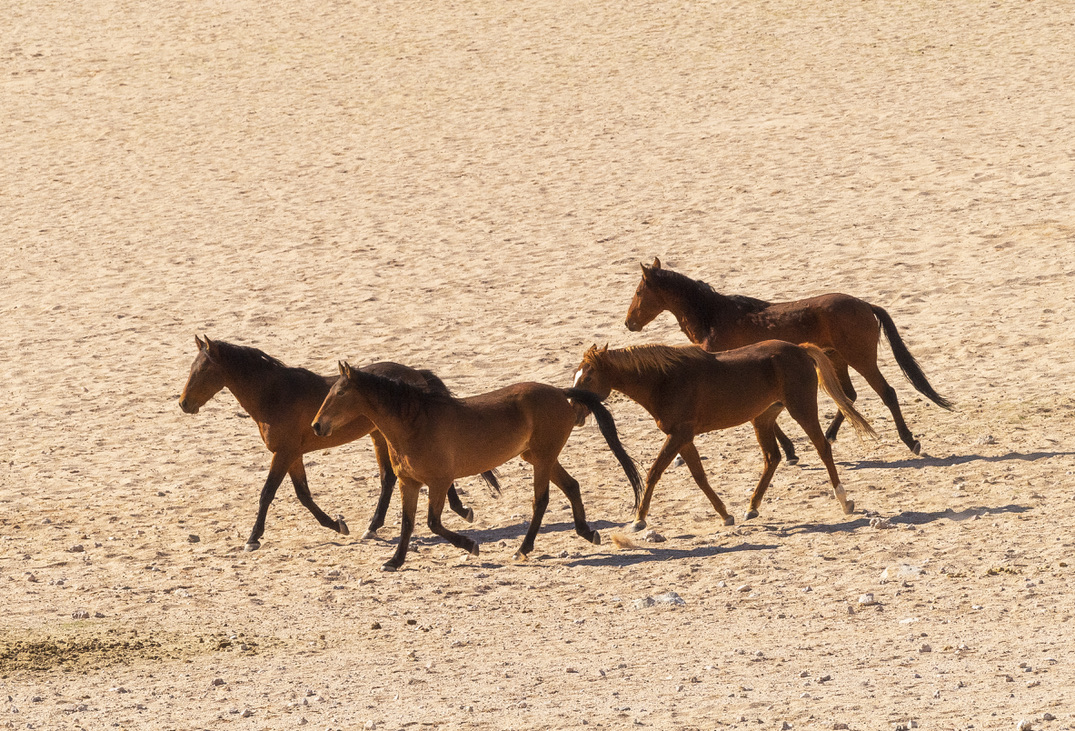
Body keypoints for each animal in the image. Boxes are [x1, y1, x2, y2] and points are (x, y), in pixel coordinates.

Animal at [178, 336, 497, 551]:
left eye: (203, 370)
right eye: (191, 367)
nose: (183, 404)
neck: (275, 394)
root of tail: (416, 373)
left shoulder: (284, 452)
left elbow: (268, 493)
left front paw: (253, 538)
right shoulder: (293, 454)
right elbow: (304, 495)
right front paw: (337, 525)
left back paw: (459, 510)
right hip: (380, 436)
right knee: (389, 479)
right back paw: (375, 527)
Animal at [311, 362, 644, 571]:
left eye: (340, 393)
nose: (316, 426)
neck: (415, 424)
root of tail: (561, 392)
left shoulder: (439, 482)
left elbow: (433, 523)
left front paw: (471, 545)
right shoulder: (409, 483)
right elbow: (408, 524)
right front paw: (394, 561)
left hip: (542, 459)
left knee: (541, 501)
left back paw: (523, 548)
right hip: (540, 458)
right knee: (572, 486)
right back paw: (587, 533)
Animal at [571, 341, 877, 530]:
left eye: (588, 377)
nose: (573, 409)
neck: (664, 380)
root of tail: (799, 349)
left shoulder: (679, 434)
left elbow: (654, 472)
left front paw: (638, 519)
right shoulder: (684, 437)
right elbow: (699, 476)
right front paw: (725, 514)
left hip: (801, 409)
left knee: (822, 447)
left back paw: (844, 501)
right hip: (762, 418)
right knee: (772, 457)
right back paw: (751, 507)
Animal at [623, 258, 953, 458]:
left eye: (639, 292)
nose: (629, 323)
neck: (714, 317)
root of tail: (864, 304)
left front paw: (789, 449)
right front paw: (791, 449)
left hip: (861, 360)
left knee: (887, 393)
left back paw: (909, 440)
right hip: (837, 360)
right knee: (848, 396)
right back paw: (829, 435)